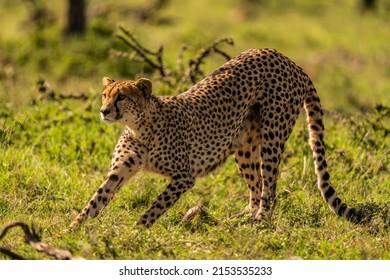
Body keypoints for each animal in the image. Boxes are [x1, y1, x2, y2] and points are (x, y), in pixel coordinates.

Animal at [69, 48, 362, 229]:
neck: (139, 126)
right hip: (244, 146)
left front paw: (137, 231)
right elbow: (95, 201)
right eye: (104, 95)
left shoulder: (184, 177)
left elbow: (155, 206)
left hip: (272, 137)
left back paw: (260, 221)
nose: (104, 111)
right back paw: (241, 218)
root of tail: (287, 60)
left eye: (121, 97)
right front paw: (70, 232)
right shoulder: (120, 170)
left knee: (270, 187)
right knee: (256, 186)